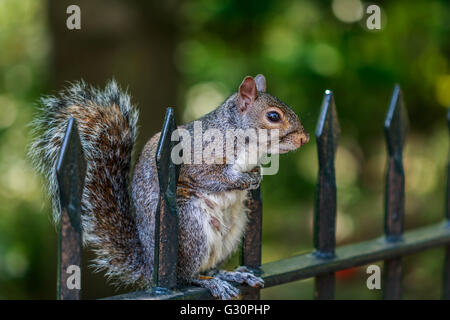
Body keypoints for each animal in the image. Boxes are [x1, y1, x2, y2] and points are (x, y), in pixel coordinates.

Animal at [28, 75, 310, 300]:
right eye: (273, 116)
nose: (304, 138)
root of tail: (150, 264)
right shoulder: (196, 159)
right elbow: (211, 176)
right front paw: (244, 179)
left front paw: (256, 175)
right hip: (190, 223)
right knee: (185, 276)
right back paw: (211, 282)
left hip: (234, 226)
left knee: (206, 267)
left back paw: (232, 275)